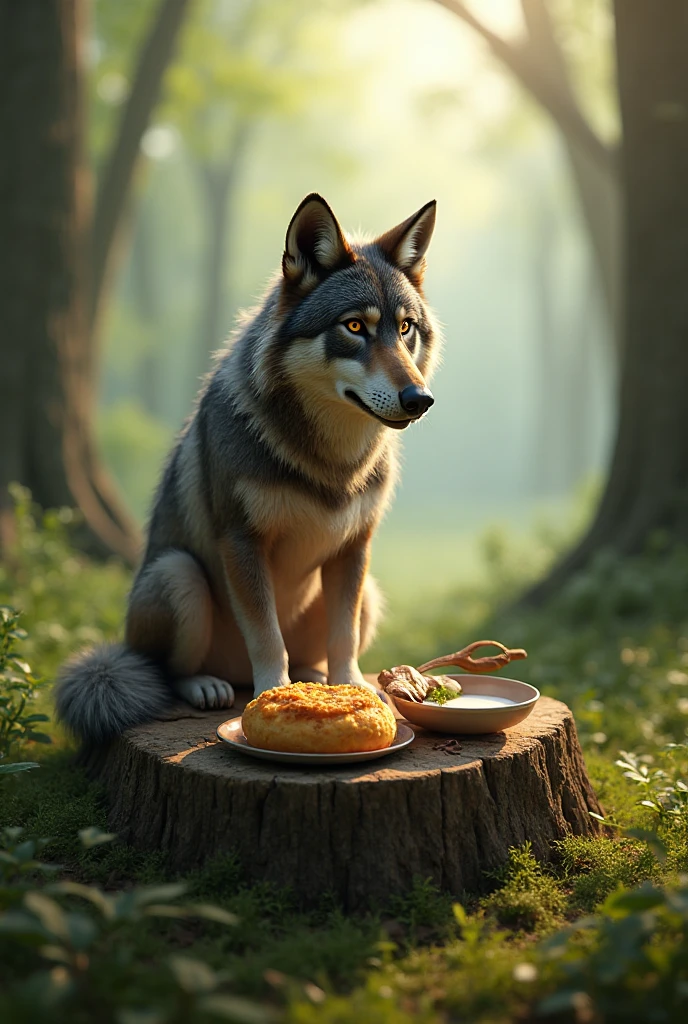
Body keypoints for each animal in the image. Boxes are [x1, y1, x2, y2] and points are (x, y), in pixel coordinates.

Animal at [55, 193, 441, 743]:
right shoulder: (242, 541)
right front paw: (273, 695)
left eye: (405, 327)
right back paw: (208, 687)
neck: (330, 459)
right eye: (354, 327)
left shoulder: (354, 547)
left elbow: (342, 639)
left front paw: (352, 691)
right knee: (168, 672)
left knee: (318, 651)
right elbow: (265, 635)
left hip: (369, 590)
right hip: (177, 573)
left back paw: (315, 677)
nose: (420, 399)